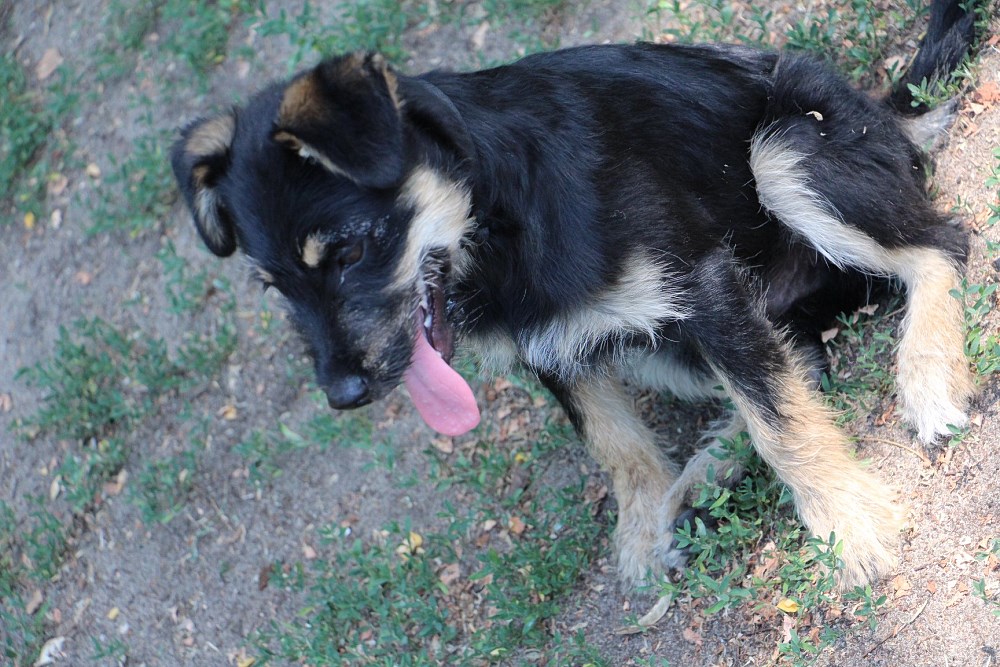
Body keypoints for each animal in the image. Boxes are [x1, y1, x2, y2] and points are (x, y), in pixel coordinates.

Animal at [172, 0, 977, 589]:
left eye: (347, 251)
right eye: (274, 285)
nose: (344, 394)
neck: (498, 228)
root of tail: (884, 111)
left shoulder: (702, 285)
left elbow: (779, 421)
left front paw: (850, 526)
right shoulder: (551, 347)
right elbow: (615, 444)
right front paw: (644, 530)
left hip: (785, 148)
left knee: (940, 247)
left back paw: (928, 375)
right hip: (666, 339)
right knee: (799, 357)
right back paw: (700, 481)